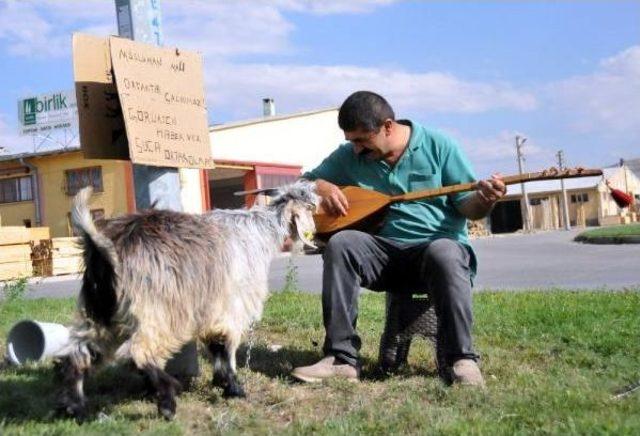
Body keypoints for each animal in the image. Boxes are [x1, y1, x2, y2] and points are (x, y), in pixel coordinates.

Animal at [55, 180, 318, 418]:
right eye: (306, 199)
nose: (319, 201)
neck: (259, 233)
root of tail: (104, 247)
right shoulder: (233, 307)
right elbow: (227, 348)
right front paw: (234, 387)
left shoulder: (212, 311)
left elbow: (216, 347)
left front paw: (221, 382)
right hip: (155, 312)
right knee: (137, 353)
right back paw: (167, 399)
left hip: (99, 314)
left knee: (78, 354)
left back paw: (74, 407)